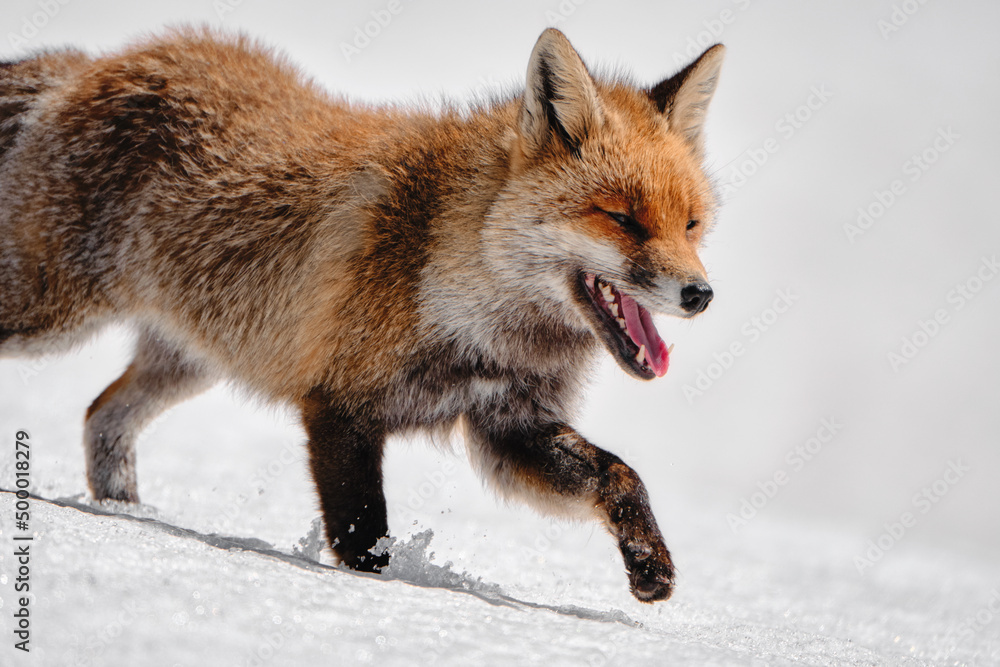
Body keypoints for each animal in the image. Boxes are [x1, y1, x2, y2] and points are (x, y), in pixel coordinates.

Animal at [0, 26, 724, 602]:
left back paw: (131, 514)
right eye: (624, 219)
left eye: (691, 224)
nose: (700, 294)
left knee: (102, 416)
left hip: (193, 358)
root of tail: (98, 61)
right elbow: (364, 540)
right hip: (53, 314)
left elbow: (620, 476)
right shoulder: (338, 406)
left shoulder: (507, 425)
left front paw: (650, 565)